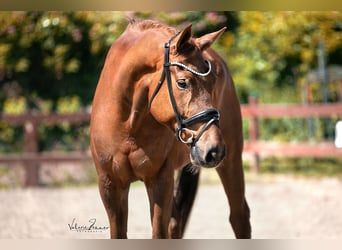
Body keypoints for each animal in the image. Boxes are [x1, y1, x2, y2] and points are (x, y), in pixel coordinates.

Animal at [90, 19, 251, 238]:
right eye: (182, 83)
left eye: (213, 82)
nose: (214, 149)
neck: (128, 127)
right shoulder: (110, 186)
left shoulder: (160, 182)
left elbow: (159, 233)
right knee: (176, 223)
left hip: (231, 161)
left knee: (239, 216)